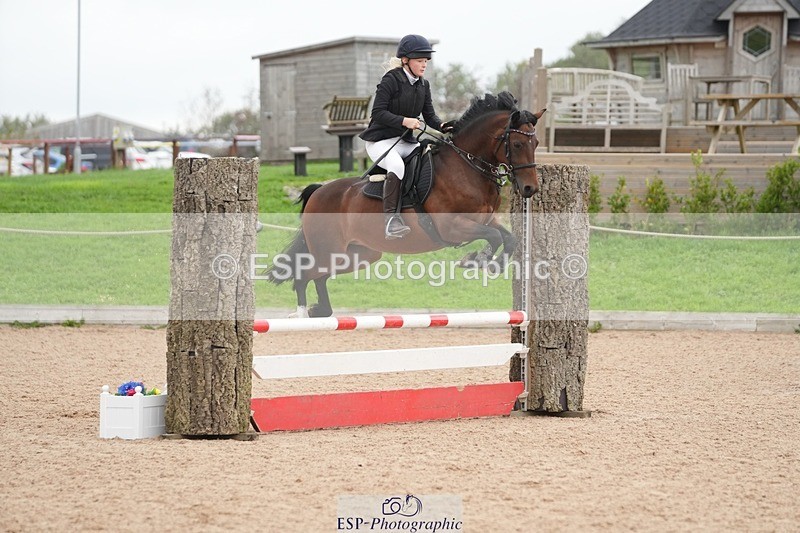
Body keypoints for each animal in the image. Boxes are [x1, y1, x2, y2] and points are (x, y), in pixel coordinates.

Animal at [269, 91, 545, 318]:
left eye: (536, 143)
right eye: (517, 144)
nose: (530, 189)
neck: (465, 167)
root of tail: (318, 191)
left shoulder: (485, 220)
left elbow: (508, 238)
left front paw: (489, 263)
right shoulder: (453, 227)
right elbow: (494, 238)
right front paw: (477, 259)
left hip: (358, 255)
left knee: (319, 276)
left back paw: (320, 310)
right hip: (330, 250)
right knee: (304, 275)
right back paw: (302, 313)